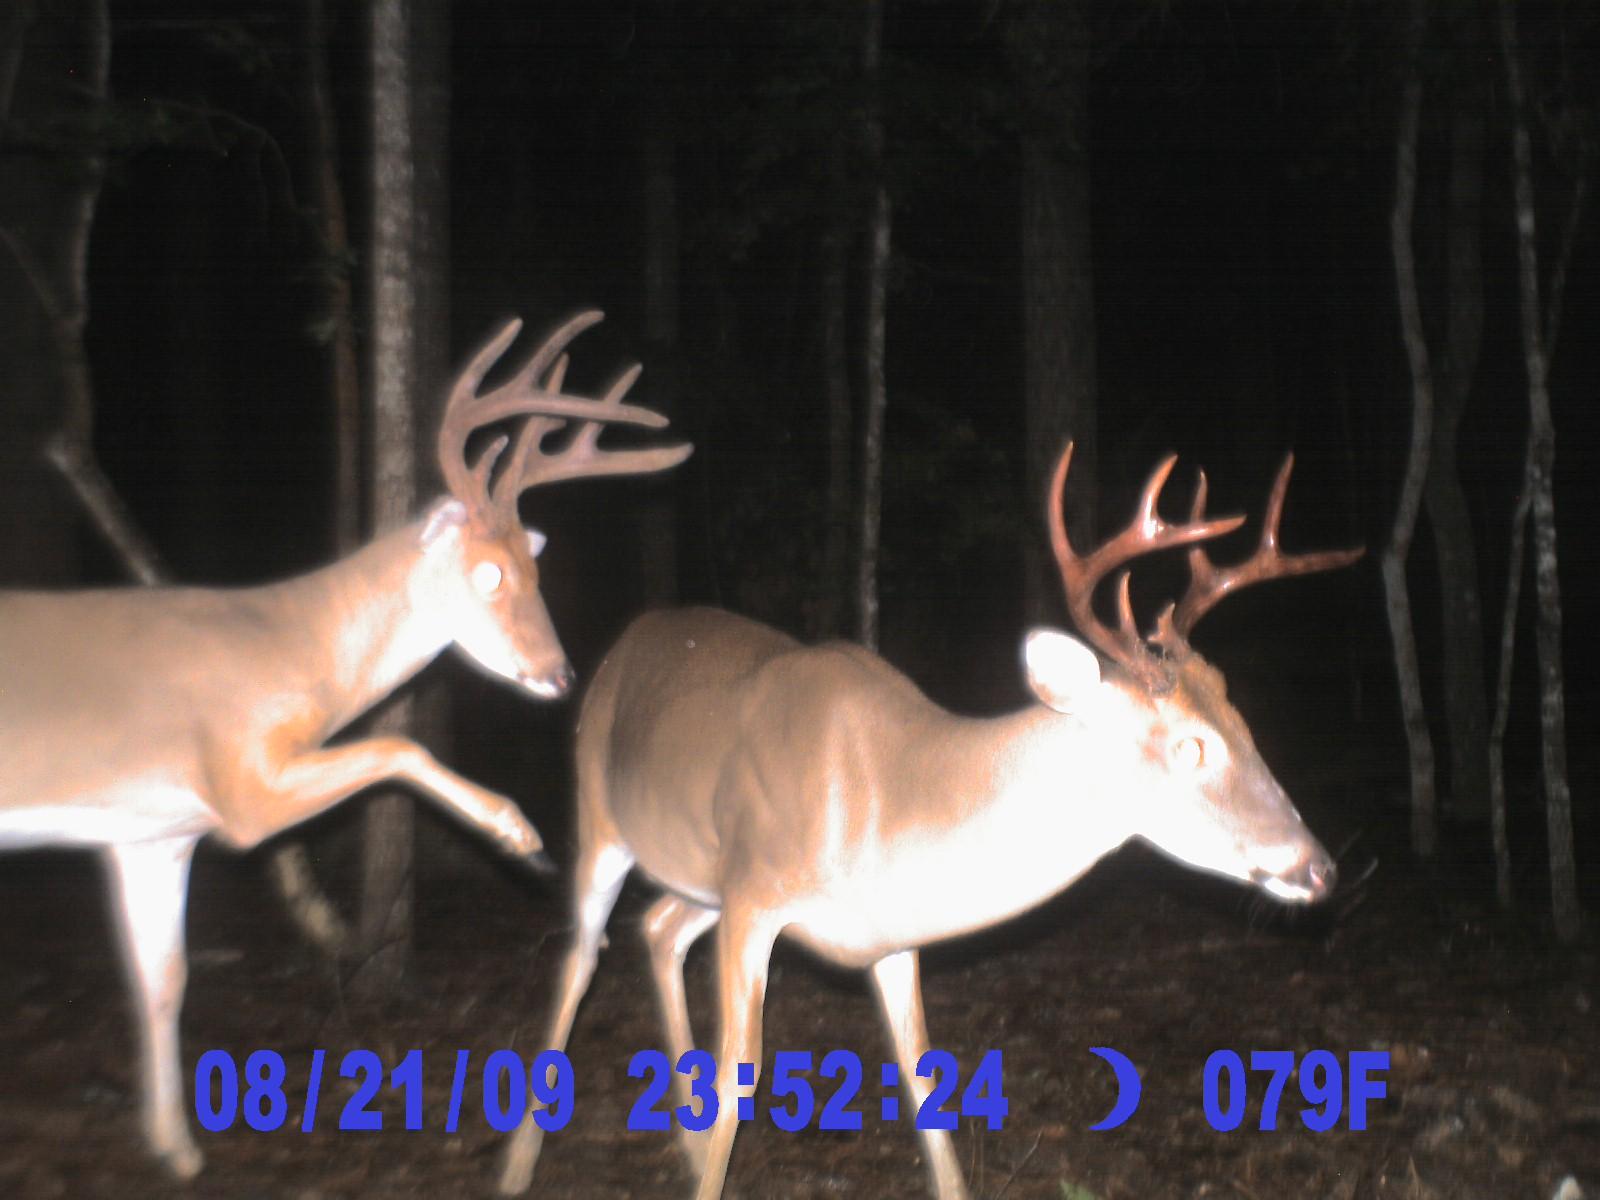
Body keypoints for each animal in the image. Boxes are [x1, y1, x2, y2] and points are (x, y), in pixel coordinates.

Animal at [0, 311, 690, 1179]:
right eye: (489, 576)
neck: (288, 649)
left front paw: (177, 1150)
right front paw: (519, 834)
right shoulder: (240, 788)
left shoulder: (154, 834)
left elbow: (161, 978)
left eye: (535, 572)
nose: (559, 674)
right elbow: (399, 753)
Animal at [497, 442, 1360, 1200]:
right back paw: (520, 1165)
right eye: (1191, 745)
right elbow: (740, 1074)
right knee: (580, 957)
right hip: (604, 822)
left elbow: (924, 1079)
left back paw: (678, 1139)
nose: (1319, 867)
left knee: (657, 929)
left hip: (698, 877)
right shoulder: (754, 896)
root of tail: (621, 647)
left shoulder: (887, 939)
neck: (888, 795)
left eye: (1243, 723)